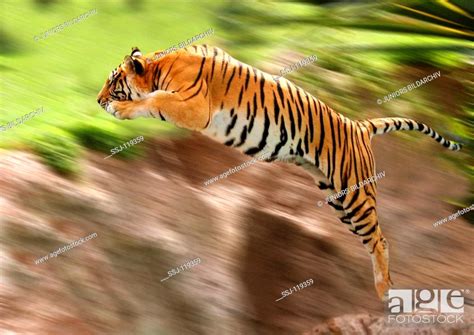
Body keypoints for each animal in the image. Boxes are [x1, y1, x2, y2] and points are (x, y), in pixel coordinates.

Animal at [97, 45, 462, 302]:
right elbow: (154, 100)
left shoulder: (193, 106)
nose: (98, 101)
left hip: (356, 195)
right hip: (338, 198)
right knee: (372, 237)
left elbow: (154, 100)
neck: (160, 66)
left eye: (113, 81)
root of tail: (358, 125)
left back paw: (384, 291)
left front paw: (121, 109)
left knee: (380, 239)